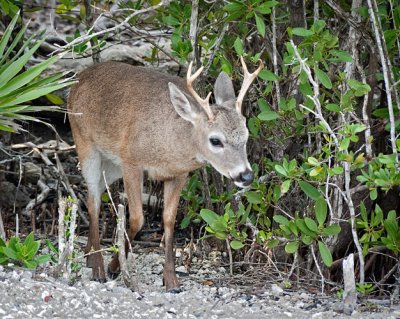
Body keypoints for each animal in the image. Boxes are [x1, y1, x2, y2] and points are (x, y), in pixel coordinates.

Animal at [68, 57, 262, 292]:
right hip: (85, 142)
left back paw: (89, 255)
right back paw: (97, 267)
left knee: (94, 191)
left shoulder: (179, 174)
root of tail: (79, 78)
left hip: (111, 164)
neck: (169, 144)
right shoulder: (131, 160)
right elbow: (137, 218)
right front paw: (115, 265)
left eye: (246, 135)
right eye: (215, 140)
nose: (246, 176)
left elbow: (169, 219)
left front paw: (171, 280)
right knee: (93, 199)